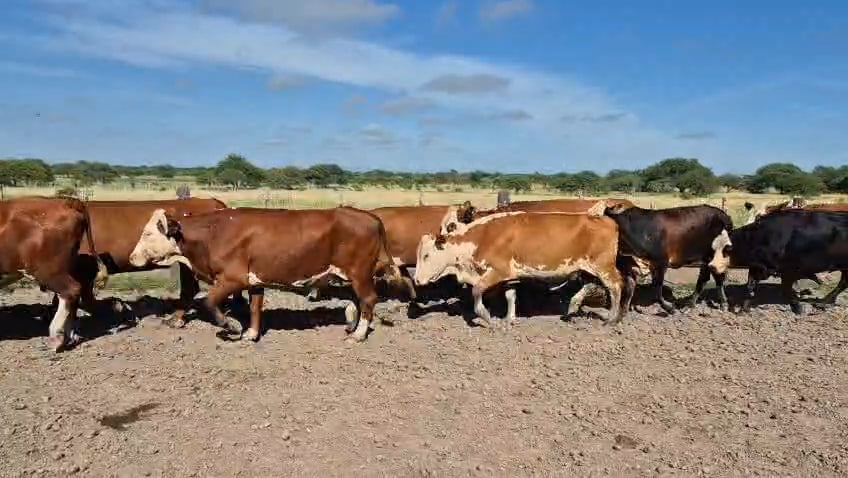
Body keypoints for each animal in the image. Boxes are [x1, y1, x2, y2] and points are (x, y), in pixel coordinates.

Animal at [128, 206, 412, 342]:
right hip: (350, 275)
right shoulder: (254, 280)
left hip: (359, 272)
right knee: (357, 301)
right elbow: (255, 308)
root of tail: (370, 216)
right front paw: (251, 334)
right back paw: (352, 325)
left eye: (148, 233)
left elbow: (209, 302)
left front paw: (231, 326)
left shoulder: (232, 279)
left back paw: (358, 334)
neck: (213, 233)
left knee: (368, 300)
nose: (131, 257)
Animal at [414, 211, 631, 327]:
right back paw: (572, 307)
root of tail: (607, 220)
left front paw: (487, 317)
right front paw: (509, 319)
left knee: (615, 286)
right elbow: (510, 296)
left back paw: (611, 318)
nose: (416, 279)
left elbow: (477, 292)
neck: (483, 237)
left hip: (603, 266)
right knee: (590, 285)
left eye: (426, 255)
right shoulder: (510, 276)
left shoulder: (497, 272)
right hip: (588, 268)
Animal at [603, 203, 734, 313]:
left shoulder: (661, 262)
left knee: (709, 278)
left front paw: (667, 306)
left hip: (713, 254)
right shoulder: (650, 264)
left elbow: (658, 286)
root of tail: (723, 214)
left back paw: (698, 304)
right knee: (711, 278)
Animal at [708, 210, 848, 314]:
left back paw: (822, 303)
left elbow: (786, 289)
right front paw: (744, 308)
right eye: (714, 247)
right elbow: (750, 286)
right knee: (843, 284)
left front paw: (798, 307)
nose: (712, 266)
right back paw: (824, 302)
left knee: (842, 284)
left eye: (728, 249)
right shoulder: (758, 267)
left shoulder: (789, 270)